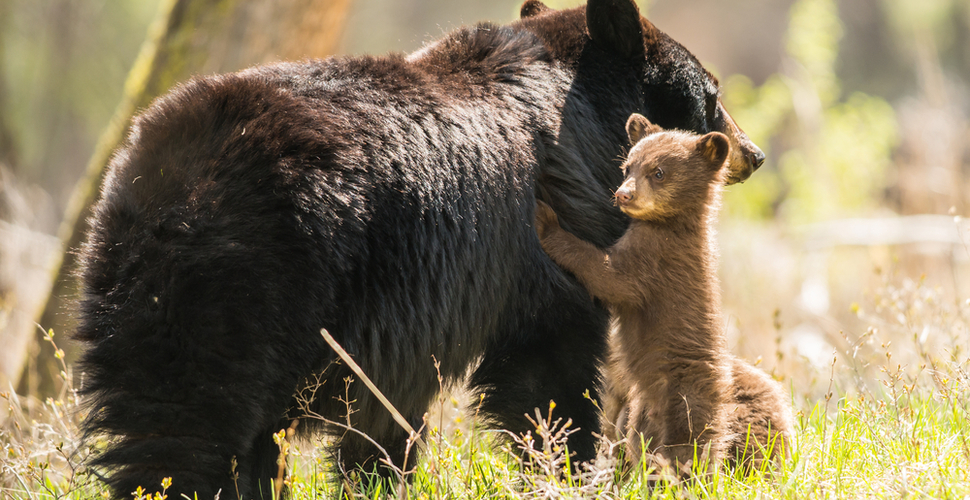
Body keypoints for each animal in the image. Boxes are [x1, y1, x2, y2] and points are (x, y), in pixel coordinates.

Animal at [73, 1, 764, 498]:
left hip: (129, 290)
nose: (752, 154)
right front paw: (564, 466)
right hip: (245, 288)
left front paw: (379, 478)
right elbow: (548, 371)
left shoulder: (404, 322)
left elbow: (387, 416)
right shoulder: (527, 265)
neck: (581, 118)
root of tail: (171, 182)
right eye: (711, 94)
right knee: (186, 431)